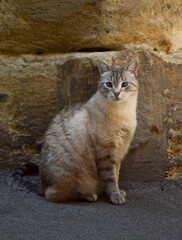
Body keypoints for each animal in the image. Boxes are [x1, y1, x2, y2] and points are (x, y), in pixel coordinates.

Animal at [6, 59, 138, 204]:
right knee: (53, 195)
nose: (116, 93)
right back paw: (89, 196)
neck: (123, 112)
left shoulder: (119, 152)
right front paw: (116, 197)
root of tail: (42, 183)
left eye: (124, 84)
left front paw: (117, 193)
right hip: (78, 177)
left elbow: (116, 175)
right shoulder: (107, 153)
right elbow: (111, 179)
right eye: (109, 84)